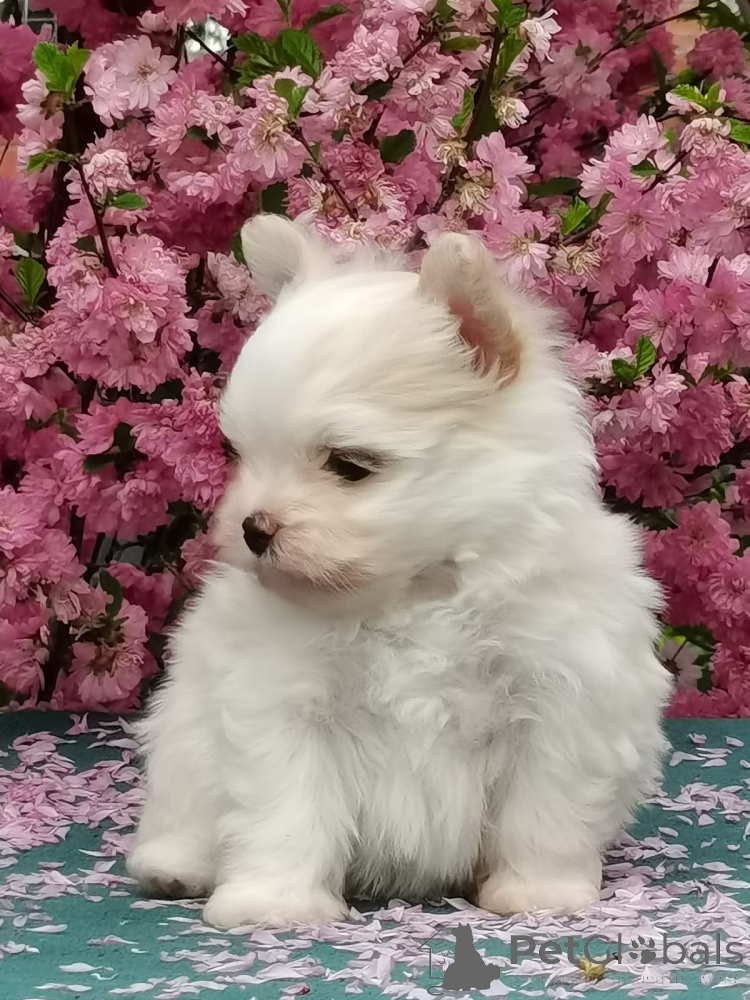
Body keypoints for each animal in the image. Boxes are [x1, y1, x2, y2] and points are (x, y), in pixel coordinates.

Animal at [127, 216, 670, 929]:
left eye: (350, 466)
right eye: (239, 454)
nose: (252, 528)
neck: (417, 590)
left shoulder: (562, 699)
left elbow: (542, 813)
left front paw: (539, 892)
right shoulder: (282, 705)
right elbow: (285, 810)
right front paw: (272, 902)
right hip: (183, 740)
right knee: (183, 810)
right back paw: (175, 866)